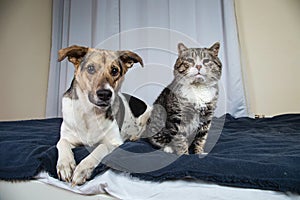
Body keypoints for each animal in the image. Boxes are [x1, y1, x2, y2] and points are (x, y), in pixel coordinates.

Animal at [56, 45, 151, 186]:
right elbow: (61, 142)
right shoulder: (68, 137)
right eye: (90, 68)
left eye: (114, 70)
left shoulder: (115, 142)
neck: (89, 112)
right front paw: (65, 165)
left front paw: (83, 169)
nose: (105, 94)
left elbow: (101, 147)